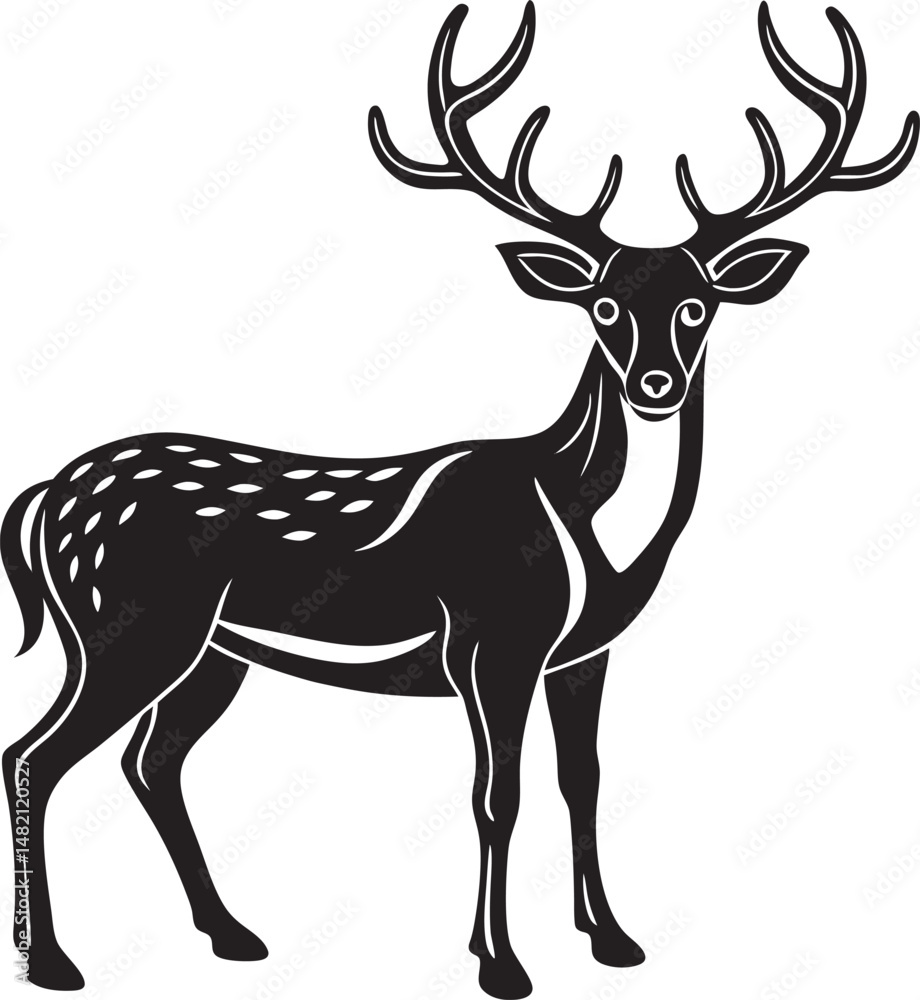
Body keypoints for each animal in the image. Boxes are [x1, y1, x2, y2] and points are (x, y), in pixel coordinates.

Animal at [2, 3, 917, 997]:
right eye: (602, 305)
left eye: (698, 304)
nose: (657, 384)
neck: (586, 532)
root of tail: (46, 498)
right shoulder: (490, 637)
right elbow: (495, 795)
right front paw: (501, 964)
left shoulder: (584, 652)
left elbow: (584, 780)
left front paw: (613, 940)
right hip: (123, 624)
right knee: (36, 755)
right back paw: (53, 960)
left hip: (211, 651)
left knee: (150, 760)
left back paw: (232, 934)